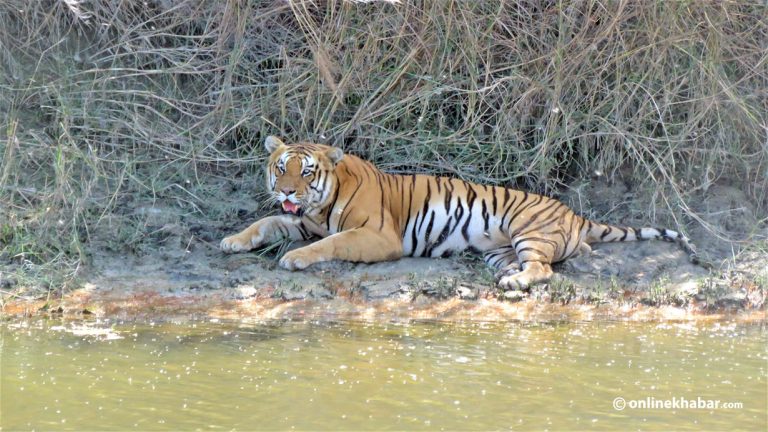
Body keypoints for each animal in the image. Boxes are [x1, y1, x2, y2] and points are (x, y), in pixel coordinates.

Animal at [219, 136, 700, 290]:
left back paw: (516, 283)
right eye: (281, 168)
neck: (319, 204)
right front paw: (232, 240)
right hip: (498, 249)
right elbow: (266, 221)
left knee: (545, 269)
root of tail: (575, 213)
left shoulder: (376, 236)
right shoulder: (301, 220)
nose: (287, 190)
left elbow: (332, 243)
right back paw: (510, 278)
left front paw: (294, 259)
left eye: (306, 172)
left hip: (527, 229)